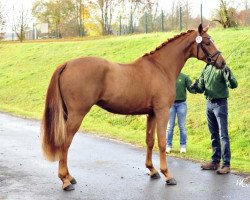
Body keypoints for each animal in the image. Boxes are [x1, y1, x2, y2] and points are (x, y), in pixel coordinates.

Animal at [41, 24, 227, 190]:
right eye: (208, 42)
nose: (222, 63)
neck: (160, 68)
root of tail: (67, 64)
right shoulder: (162, 112)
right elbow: (161, 142)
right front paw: (167, 175)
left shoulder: (151, 114)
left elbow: (150, 141)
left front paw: (152, 170)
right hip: (77, 115)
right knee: (65, 142)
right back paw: (65, 180)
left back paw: (69, 177)